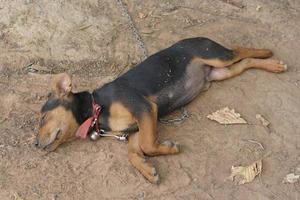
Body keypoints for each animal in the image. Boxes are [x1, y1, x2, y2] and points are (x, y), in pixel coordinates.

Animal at [34, 36, 288, 184]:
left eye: (43, 117)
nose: (35, 144)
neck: (97, 108)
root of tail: (199, 37)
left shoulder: (145, 108)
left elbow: (148, 145)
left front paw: (170, 148)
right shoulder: (134, 130)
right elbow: (134, 153)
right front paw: (147, 170)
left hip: (216, 56)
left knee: (240, 50)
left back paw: (267, 54)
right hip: (221, 73)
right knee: (244, 64)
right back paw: (272, 65)